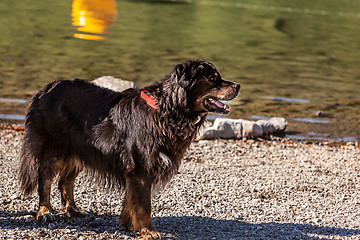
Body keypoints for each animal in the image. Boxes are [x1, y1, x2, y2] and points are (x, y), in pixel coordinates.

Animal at [19, 59, 239, 239]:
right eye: (213, 79)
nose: (238, 85)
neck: (168, 111)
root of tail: (47, 88)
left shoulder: (133, 170)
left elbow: (130, 200)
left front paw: (127, 225)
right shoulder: (141, 169)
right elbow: (143, 205)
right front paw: (148, 231)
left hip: (80, 150)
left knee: (65, 181)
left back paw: (73, 209)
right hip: (55, 148)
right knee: (45, 178)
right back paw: (45, 211)